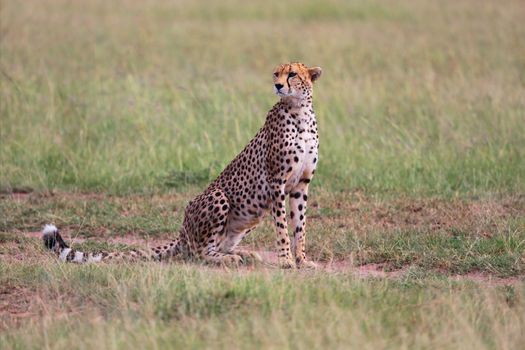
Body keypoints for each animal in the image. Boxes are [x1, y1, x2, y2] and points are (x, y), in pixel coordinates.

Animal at [44, 63, 324, 270]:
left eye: (292, 74)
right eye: (276, 73)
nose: (277, 85)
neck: (299, 111)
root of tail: (181, 231)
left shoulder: (300, 184)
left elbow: (300, 226)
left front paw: (302, 260)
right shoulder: (276, 182)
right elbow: (283, 227)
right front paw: (286, 260)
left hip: (251, 216)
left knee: (214, 246)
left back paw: (243, 254)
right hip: (219, 196)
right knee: (198, 253)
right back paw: (230, 258)